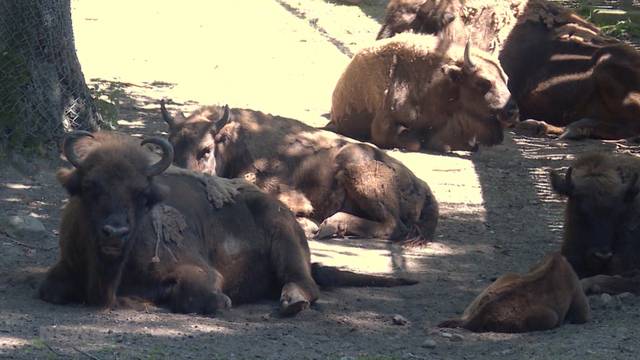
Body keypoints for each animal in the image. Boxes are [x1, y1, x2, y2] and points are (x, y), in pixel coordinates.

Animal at [161, 102, 440, 245]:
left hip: (356, 171)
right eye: (171, 146)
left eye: (205, 150)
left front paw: (307, 224)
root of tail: (423, 186)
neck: (234, 141)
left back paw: (331, 225)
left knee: (394, 225)